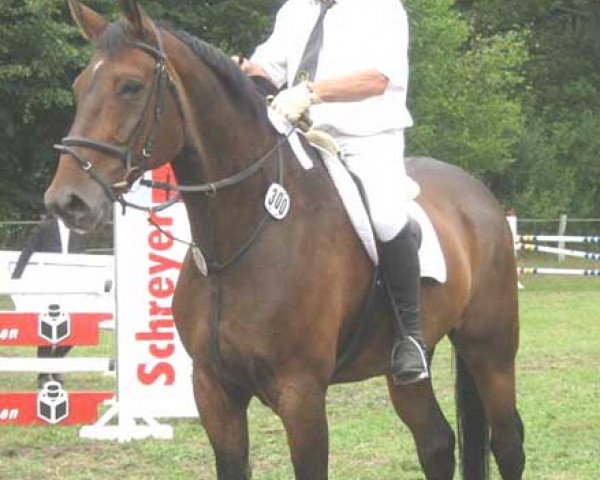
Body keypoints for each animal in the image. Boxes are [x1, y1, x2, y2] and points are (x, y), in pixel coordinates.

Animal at [44, 1, 524, 478]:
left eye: (131, 86)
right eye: (79, 86)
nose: (68, 201)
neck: (241, 241)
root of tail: (479, 195)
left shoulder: (301, 395)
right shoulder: (214, 392)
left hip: (491, 353)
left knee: (507, 442)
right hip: (406, 371)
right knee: (436, 443)